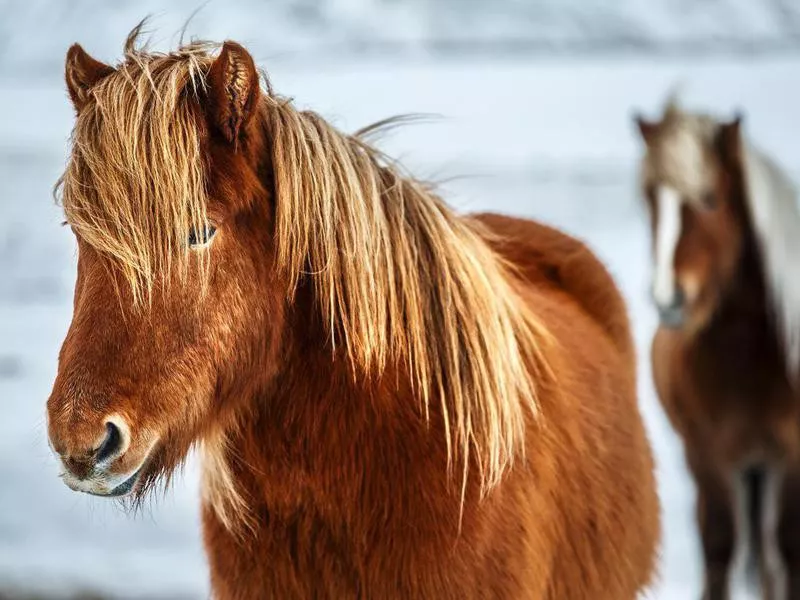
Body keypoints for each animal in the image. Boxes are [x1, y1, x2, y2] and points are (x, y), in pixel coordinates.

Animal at [640, 98, 800, 600]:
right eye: (649, 197)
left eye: (710, 198)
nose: (670, 299)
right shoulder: (705, 453)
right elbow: (718, 547)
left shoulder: (790, 454)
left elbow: (786, 547)